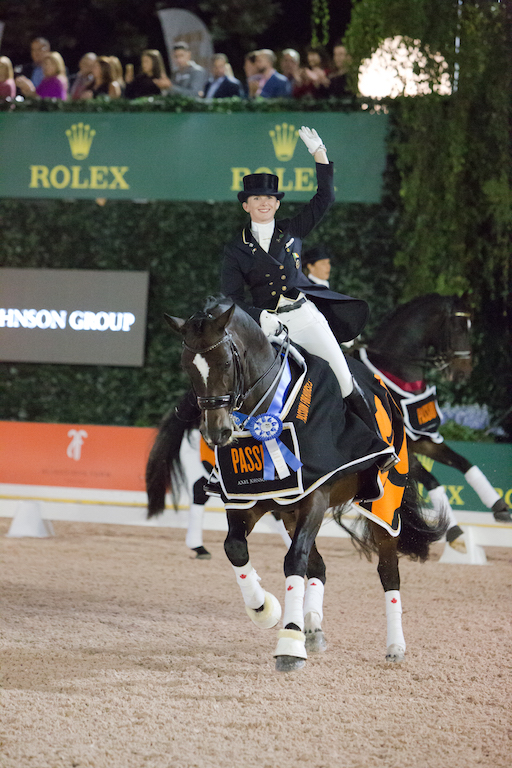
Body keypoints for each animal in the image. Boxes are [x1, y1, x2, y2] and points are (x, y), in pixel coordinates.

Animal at [145, 298, 448, 672]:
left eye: (227, 362)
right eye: (187, 366)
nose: (217, 433)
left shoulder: (315, 497)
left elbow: (294, 562)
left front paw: (289, 643)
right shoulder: (248, 499)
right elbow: (236, 549)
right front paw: (265, 609)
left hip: (382, 505)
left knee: (387, 571)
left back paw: (394, 646)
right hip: (290, 513)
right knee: (318, 565)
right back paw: (313, 627)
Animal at [356, 292, 512, 548]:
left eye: (471, 327)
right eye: (458, 328)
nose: (463, 373)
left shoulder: (423, 438)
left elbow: (464, 463)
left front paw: (499, 507)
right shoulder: (400, 450)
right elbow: (431, 481)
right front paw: (454, 531)